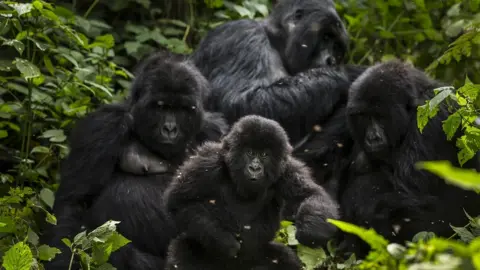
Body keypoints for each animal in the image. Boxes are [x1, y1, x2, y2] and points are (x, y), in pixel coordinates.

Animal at [41, 51, 229, 268]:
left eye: (183, 109)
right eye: (160, 107)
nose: (170, 129)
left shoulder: (216, 131)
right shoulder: (103, 126)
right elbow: (75, 202)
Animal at [163, 115, 340, 270]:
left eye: (264, 154)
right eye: (249, 152)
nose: (255, 168)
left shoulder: (287, 168)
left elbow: (310, 194)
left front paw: (310, 230)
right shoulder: (208, 161)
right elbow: (178, 201)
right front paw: (223, 241)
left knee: (285, 258)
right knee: (182, 252)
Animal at [189, 0, 366, 195]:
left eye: (337, 47)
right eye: (326, 37)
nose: (332, 61)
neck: (275, 42)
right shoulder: (242, 37)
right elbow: (244, 104)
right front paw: (349, 74)